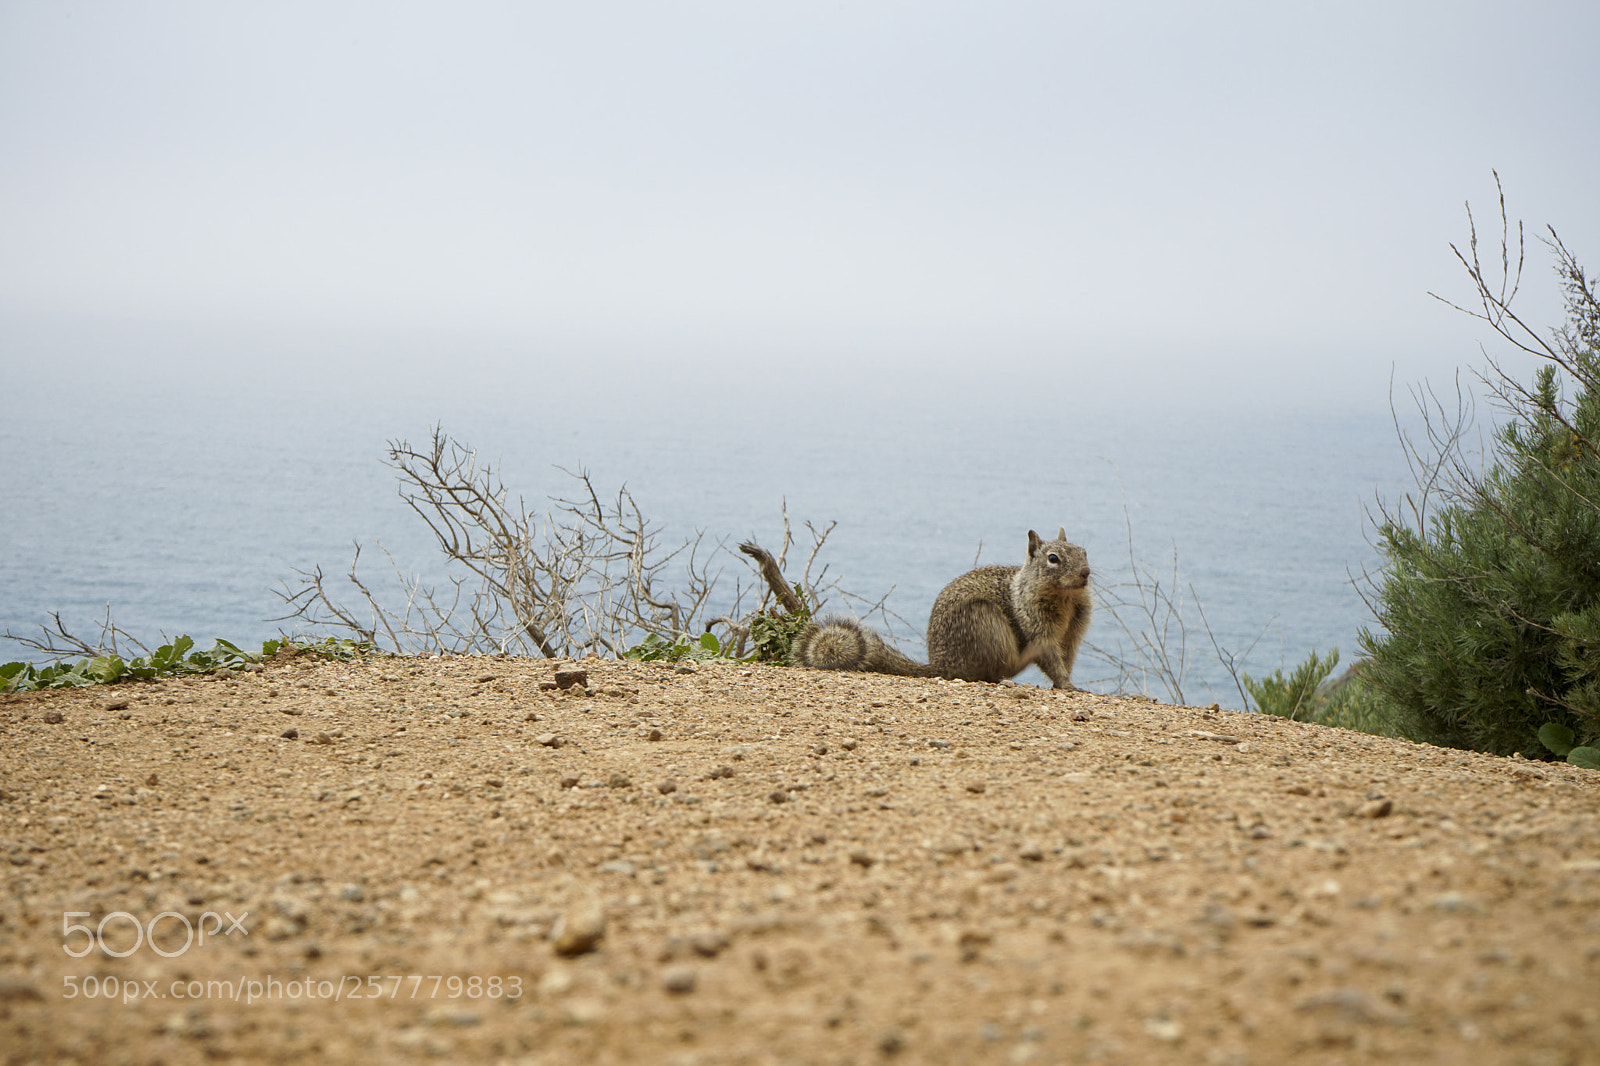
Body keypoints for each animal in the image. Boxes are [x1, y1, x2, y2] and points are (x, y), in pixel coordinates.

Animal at [793, 528, 1091, 690]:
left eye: (1084, 551)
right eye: (1053, 559)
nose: (1086, 573)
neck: (1066, 599)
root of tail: (941, 666)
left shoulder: (1072, 633)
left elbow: (1067, 658)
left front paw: (1067, 682)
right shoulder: (1038, 627)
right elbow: (1051, 657)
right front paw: (1068, 685)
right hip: (986, 623)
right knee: (990, 672)